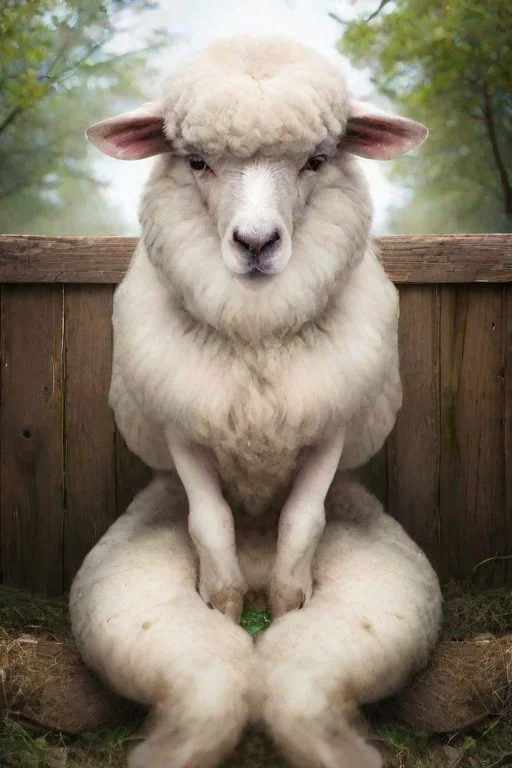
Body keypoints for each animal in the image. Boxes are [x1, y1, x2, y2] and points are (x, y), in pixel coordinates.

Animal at [70, 35, 442, 767]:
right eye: (196, 161)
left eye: (317, 160)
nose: (256, 244)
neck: (257, 334)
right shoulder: (182, 426)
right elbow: (209, 521)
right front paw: (226, 604)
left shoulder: (329, 424)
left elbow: (303, 520)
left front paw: (287, 602)